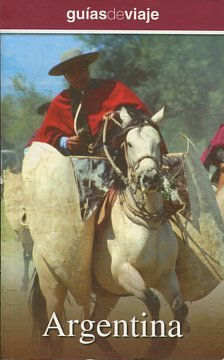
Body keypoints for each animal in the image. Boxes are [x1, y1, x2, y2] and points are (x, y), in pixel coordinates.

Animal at [28, 109, 188, 360]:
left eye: (157, 141)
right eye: (129, 143)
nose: (150, 178)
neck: (146, 224)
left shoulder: (166, 276)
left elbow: (181, 309)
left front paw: (164, 347)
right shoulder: (124, 272)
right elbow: (152, 301)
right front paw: (154, 346)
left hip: (107, 295)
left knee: (94, 327)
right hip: (53, 287)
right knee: (55, 331)